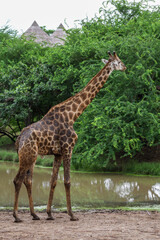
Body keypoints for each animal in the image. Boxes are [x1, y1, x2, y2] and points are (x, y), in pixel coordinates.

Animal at [12, 51, 126, 222]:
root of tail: (19, 139)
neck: (73, 115)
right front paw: (72, 215)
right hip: (28, 155)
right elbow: (67, 181)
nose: (125, 67)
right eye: (118, 62)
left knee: (27, 180)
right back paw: (17, 216)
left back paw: (34, 215)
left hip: (30, 156)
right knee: (17, 180)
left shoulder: (58, 153)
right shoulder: (68, 148)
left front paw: (49, 214)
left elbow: (53, 181)